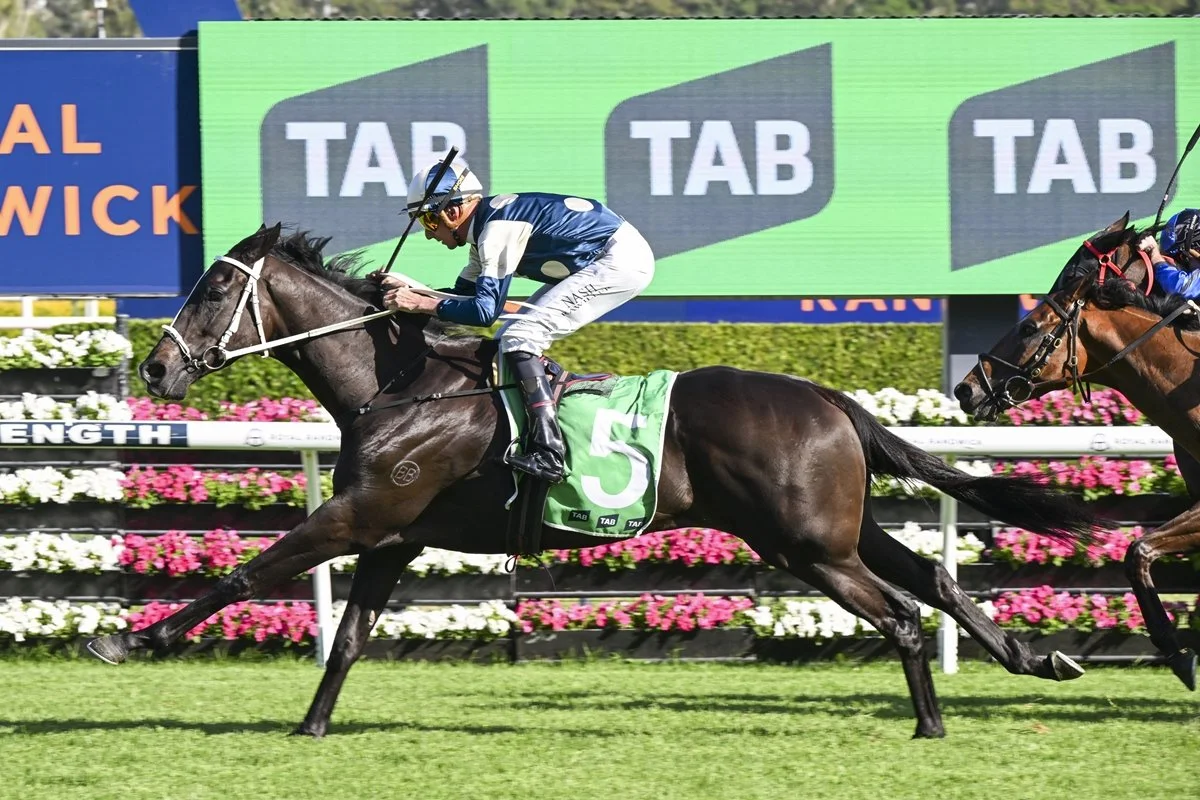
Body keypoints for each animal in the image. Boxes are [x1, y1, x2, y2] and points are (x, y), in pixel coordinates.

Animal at [87, 222, 1105, 739]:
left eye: (217, 291)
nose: (159, 369)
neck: (399, 381)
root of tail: (827, 397)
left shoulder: (358, 514)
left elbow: (246, 573)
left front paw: (128, 641)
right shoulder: (392, 536)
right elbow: (345, 641)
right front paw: (310, 729)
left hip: (803, 543)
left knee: (899, 612)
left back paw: (930, 726)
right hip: (831, 529)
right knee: (929, 577)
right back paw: (1034, 658)